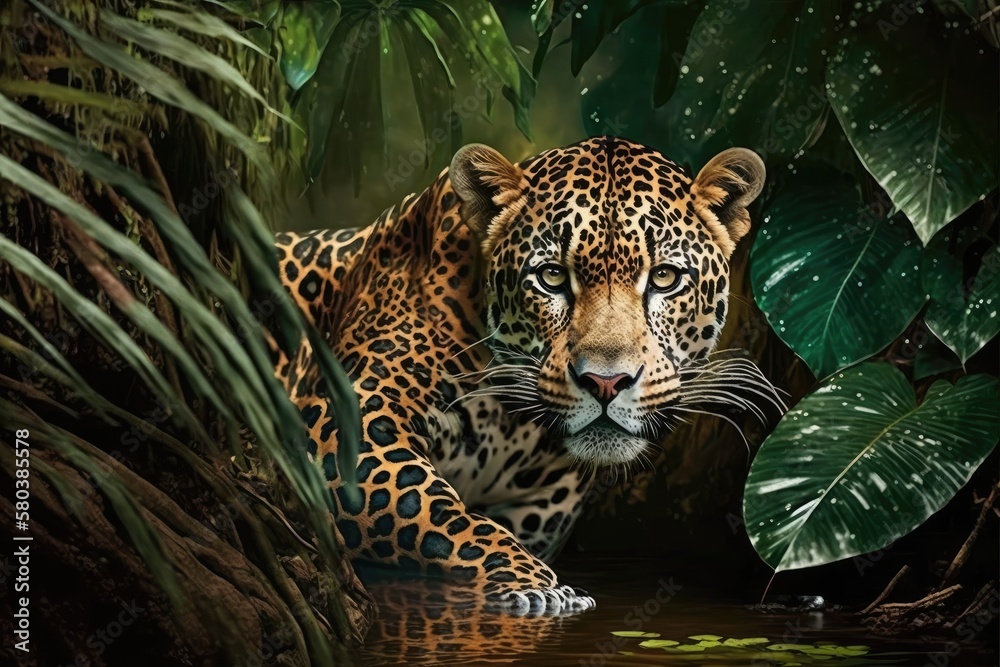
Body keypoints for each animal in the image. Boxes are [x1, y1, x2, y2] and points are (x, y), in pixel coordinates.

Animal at [274, 136, 771, 616]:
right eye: (551, 277)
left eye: (665, 278)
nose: (606, 383)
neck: (509, 417)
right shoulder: (345, 426)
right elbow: (444, 516)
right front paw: (531, 585)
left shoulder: (542, 504)